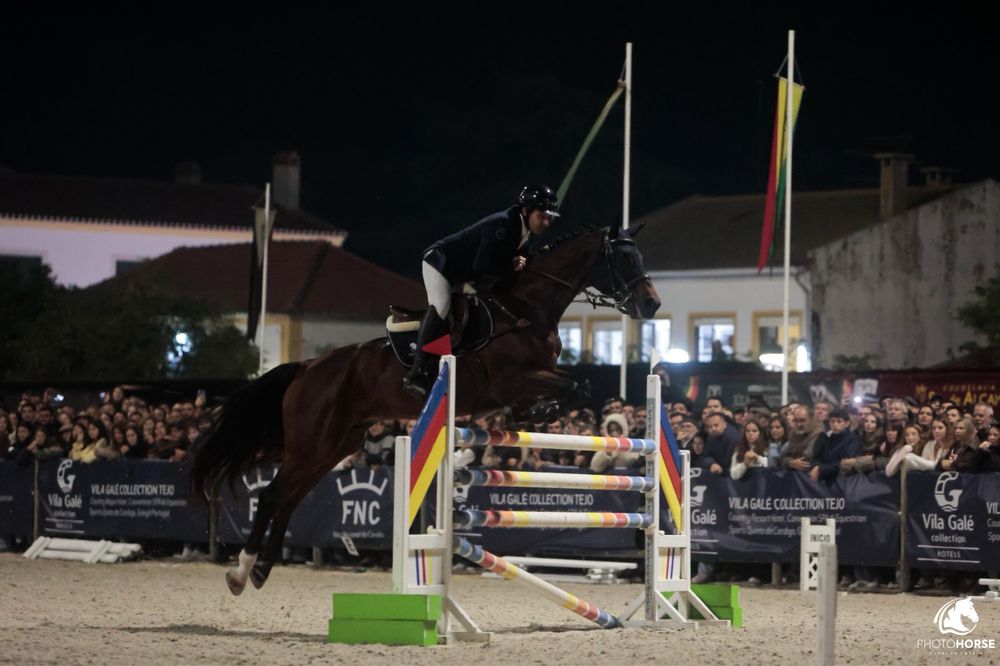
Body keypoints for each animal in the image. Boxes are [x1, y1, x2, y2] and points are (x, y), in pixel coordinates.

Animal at [189, 221, 661, 595]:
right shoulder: (510, 380)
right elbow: (578, 384)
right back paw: (240, 573)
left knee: (288, 499)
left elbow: (569, 388)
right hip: (311, 443)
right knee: (272, 496)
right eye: (625, 257)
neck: (526, 309)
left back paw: (260, 570)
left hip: (335, 445)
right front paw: (541, 412)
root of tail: (306, 367)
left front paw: (535, 414)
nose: (651, 304)